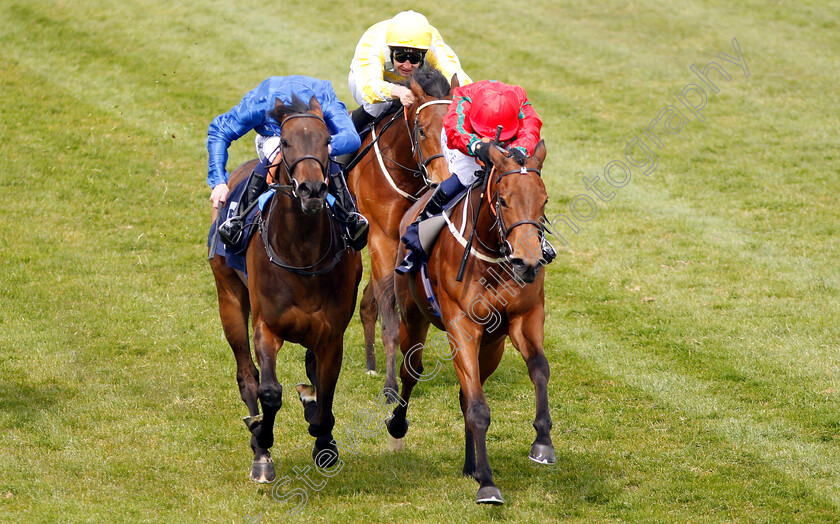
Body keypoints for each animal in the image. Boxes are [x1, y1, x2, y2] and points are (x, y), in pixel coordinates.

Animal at [209, 95, 360, 484]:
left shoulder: (331, 335)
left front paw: (323, 439)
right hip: (229, 297)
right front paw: (261, 438)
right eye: (287, 142)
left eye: (327, 141)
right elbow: (269, 391)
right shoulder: (267, 325)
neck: (302, 255)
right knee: (247, 375)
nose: (312, 190)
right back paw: (259, 447)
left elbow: (324, 396)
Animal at [346, 67, 460, 400]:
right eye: (421, 130)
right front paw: (390, 386)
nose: (442, 180)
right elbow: (391, 317)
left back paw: (371, 363)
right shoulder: (381, 238)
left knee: (368, 302)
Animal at [388, 139, 556, 504]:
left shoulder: (525, 317)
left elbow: (539, 368)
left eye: (544, 200)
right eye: (503, 199)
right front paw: (488, 485)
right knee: (411, 371)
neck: (492, 256)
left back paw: (471, 464)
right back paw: (397, 426)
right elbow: (479, 407)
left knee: (466, 394)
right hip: (413, 316)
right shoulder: (461, 326)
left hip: (492, 347)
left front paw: (542, 443)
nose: (528, 263)